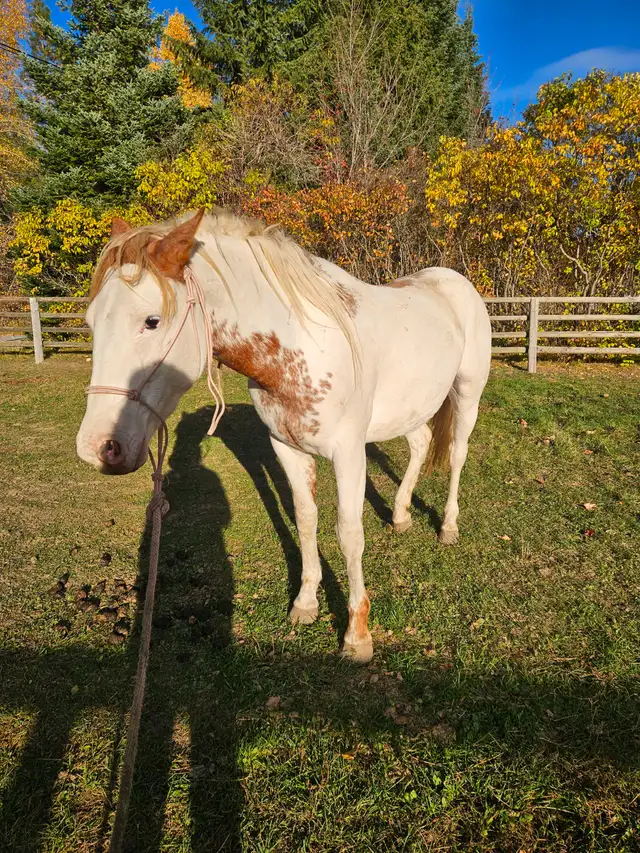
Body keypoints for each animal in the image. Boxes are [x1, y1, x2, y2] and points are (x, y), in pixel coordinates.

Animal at [76, 208, 491, 662]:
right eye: (91, 322)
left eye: (151, 321)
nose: (96, 448)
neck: (302, 346)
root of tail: (453, 280)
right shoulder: (286, 448)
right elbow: (306, 520)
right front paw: (305, 604)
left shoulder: (349, 454)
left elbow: (349, 534)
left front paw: (357, 634)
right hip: (409, 408)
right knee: (419, 446)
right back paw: (400, 516)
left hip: (467, 395)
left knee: (457, 454)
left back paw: (448, 527)